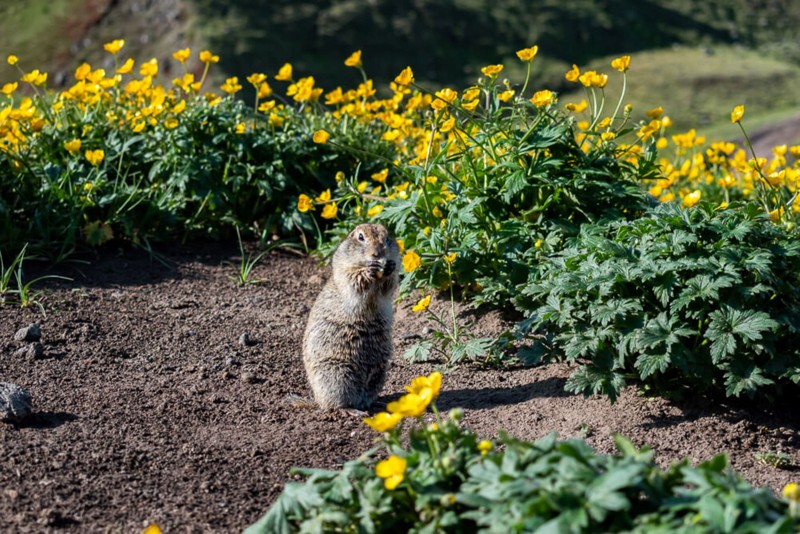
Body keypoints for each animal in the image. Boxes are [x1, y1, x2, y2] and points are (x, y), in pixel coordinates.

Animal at [302, 224, 400, 412]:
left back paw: (376, 403)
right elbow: (354, 279)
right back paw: (351, 410)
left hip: (379, 373)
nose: (378, 253)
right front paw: (369, 270)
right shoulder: (344, 269)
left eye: (387, 237)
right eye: (360, 237)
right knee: (337, 404)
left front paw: (389, 266)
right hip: (337, 375)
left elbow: (389, 284)